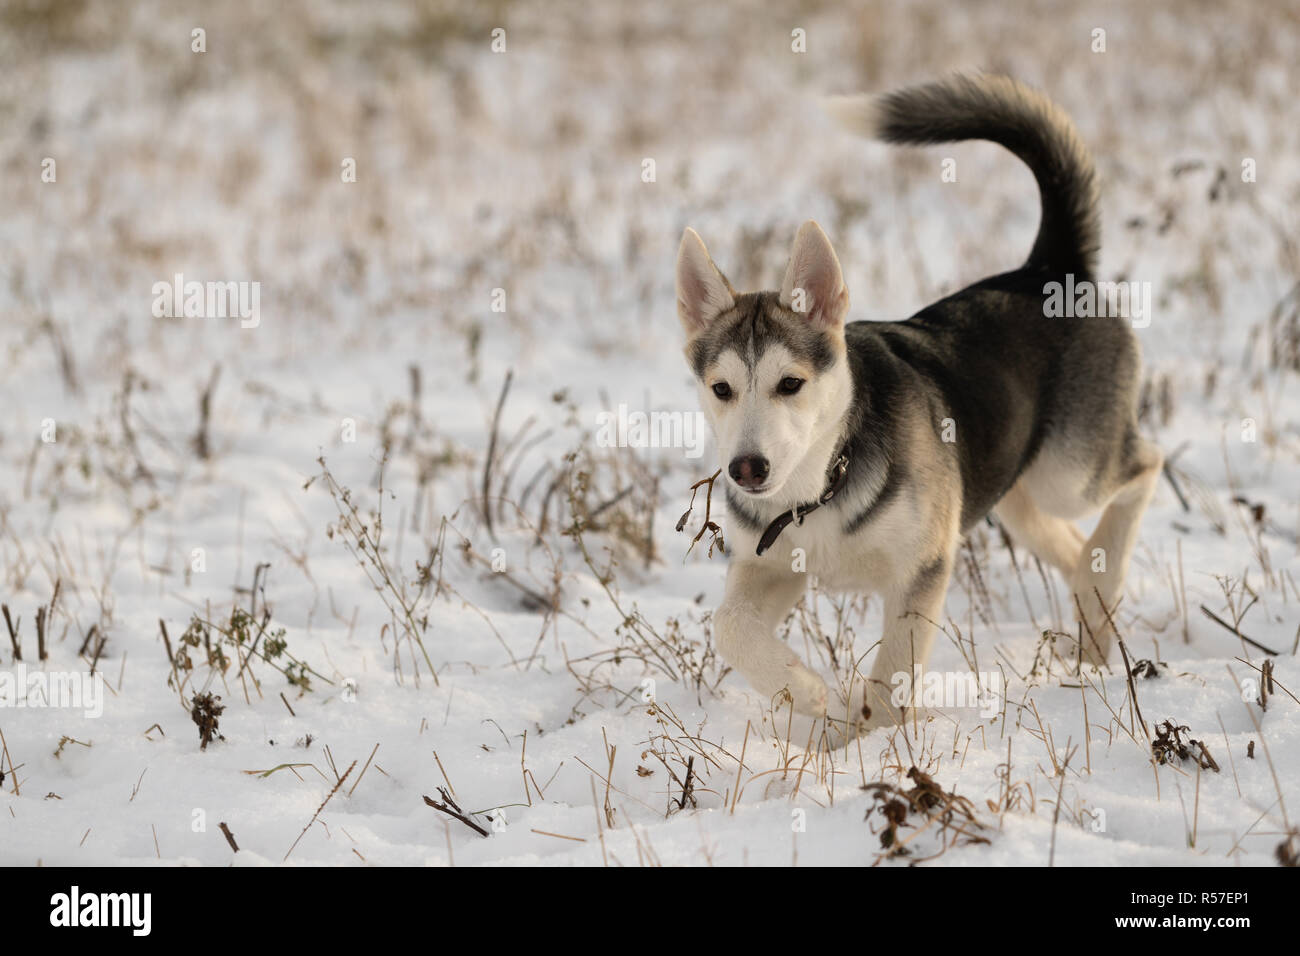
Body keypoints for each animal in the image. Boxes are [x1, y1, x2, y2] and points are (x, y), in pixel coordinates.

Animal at [676, 74, 1164, 733]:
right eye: (721, 389)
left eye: (791, 385)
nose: (747, 469)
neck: (821, 485)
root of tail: (1048, 268)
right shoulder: (770, 566)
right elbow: (729, 627)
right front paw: (806, 694)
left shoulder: (922, 567)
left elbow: (893, 677)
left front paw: (874, 741)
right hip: (1012, 489)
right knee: (1071, 545)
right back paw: (1092, 621)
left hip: (1069, 471)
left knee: (1146, 464)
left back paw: (1105, 578)